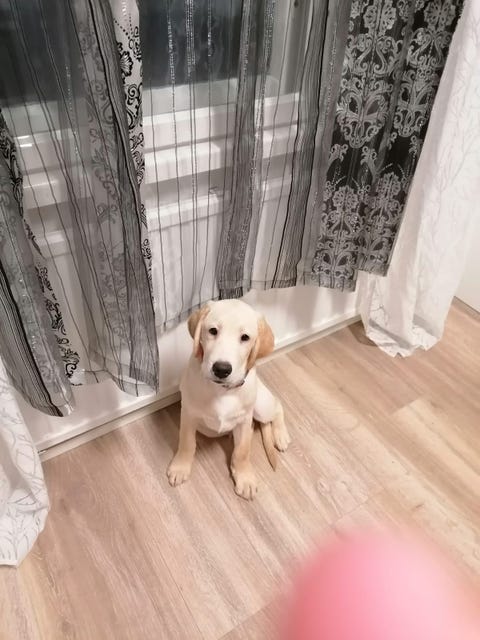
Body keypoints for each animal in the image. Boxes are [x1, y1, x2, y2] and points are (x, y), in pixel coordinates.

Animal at [167, 299, 290, 499]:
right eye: (213, 331)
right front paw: (181, 467)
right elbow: (186, 442)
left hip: (261, 406)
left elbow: (242, 452)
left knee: (278, 405)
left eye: (245, 337)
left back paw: (281, 435)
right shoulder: (188, 414)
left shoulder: (244, 421)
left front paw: (244, 476)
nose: (221, 369)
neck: (222, 390)